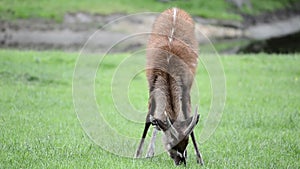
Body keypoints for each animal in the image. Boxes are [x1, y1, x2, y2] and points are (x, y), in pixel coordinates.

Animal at [135, 7, 204, 166]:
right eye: (171, 143)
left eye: (186, 142)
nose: (181, 161)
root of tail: (175, 8)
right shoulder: (151, 88)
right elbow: (149, 119)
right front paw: (137, 155)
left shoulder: (186, 89)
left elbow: (189, 120)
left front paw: (200, 158)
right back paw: (149, 153)